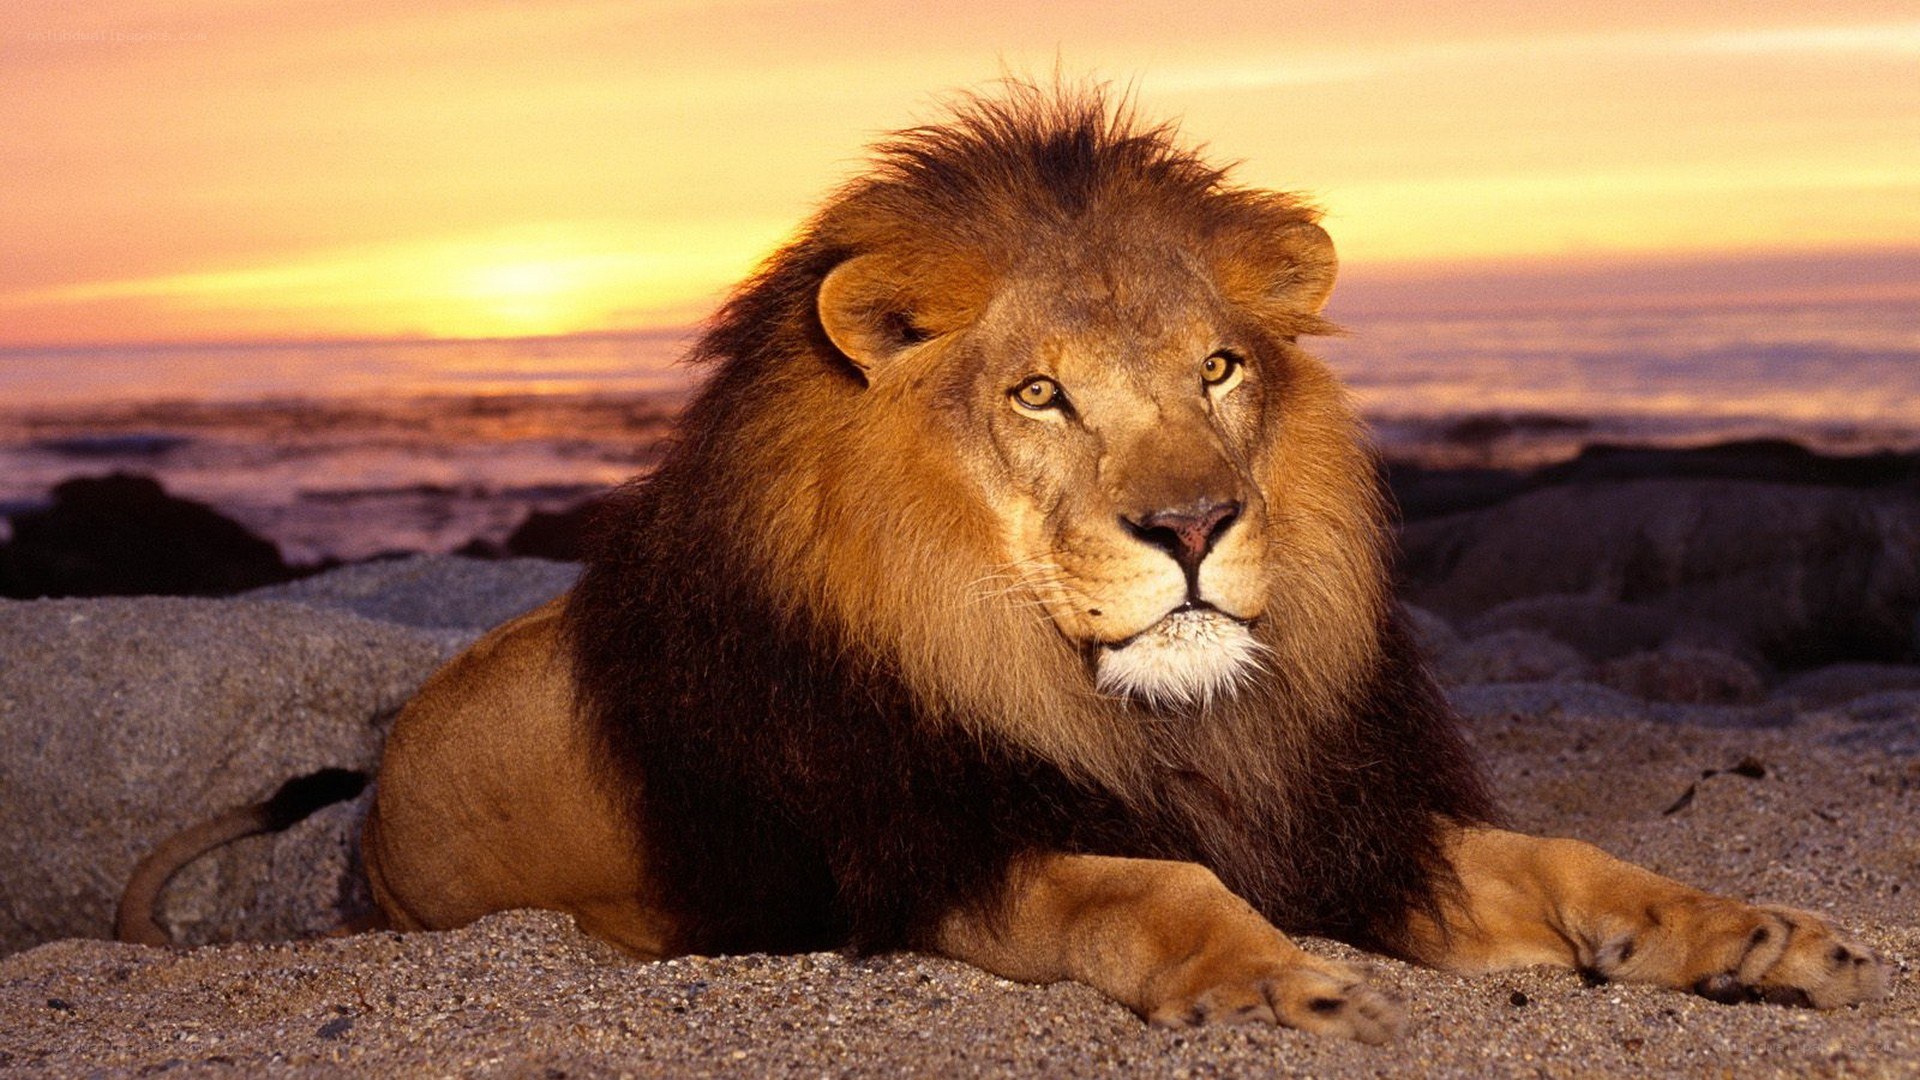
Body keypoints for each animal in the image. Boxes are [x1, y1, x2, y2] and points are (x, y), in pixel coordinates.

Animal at [123, 87, 1887, 1041]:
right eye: (1042, 394)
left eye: (1218, 371)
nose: (1193, 528)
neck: (1143, 715)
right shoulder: (930, 855)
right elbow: (1147, 884)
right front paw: (1286, 987)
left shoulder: (1340, 816)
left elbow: (1574, 863)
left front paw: (1753, 937)